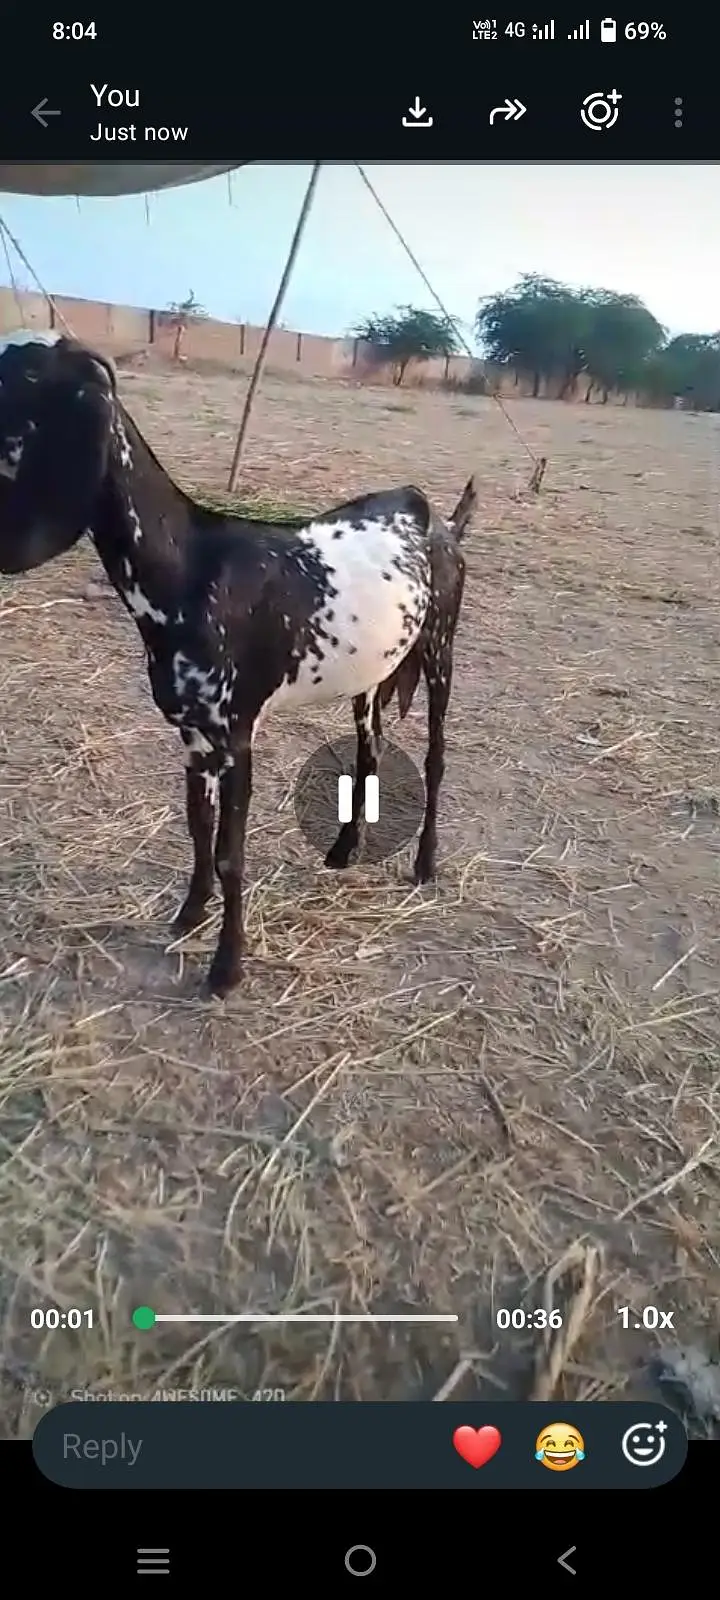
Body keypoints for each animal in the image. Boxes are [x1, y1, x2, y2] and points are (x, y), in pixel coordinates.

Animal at [0, 332, 476, 996]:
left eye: (21, 392)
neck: (190, 570)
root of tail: (439, 520)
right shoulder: (194, 733)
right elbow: (199, 830)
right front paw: (187, 917)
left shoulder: (238, 734)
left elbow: (231, 851)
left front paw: (226, 969)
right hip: (372, 672)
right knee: (370, 749)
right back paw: (343, 850)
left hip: (439, 648)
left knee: (434, 758)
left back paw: (425, 864)